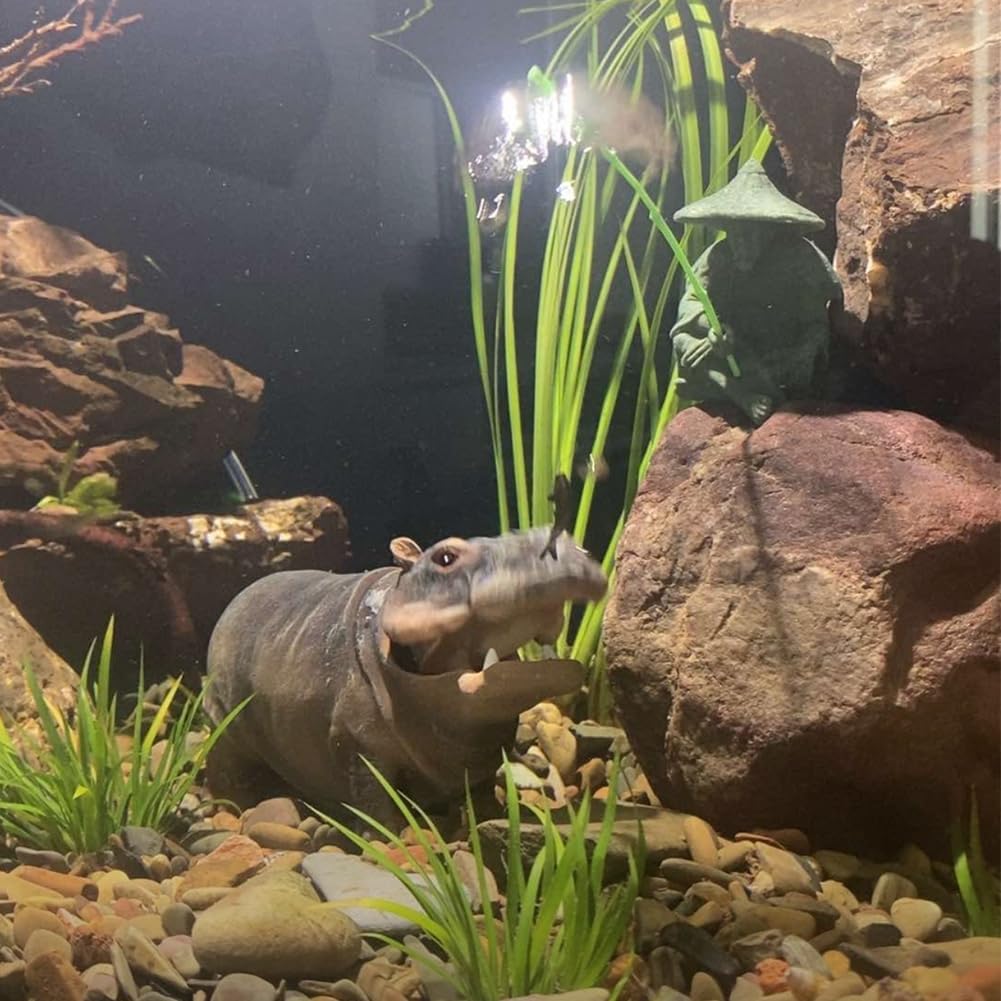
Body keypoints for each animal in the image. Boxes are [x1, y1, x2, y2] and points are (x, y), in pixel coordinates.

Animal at [204, 526, 607, 823]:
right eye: (445, 556)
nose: (556, 545)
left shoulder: (482, 750)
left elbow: (481, 787)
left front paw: (489, 817)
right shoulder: (354, 741)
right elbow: (376, 801)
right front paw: (392, 839)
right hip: (224, 720)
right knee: (228, 760)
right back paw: (237, 801)